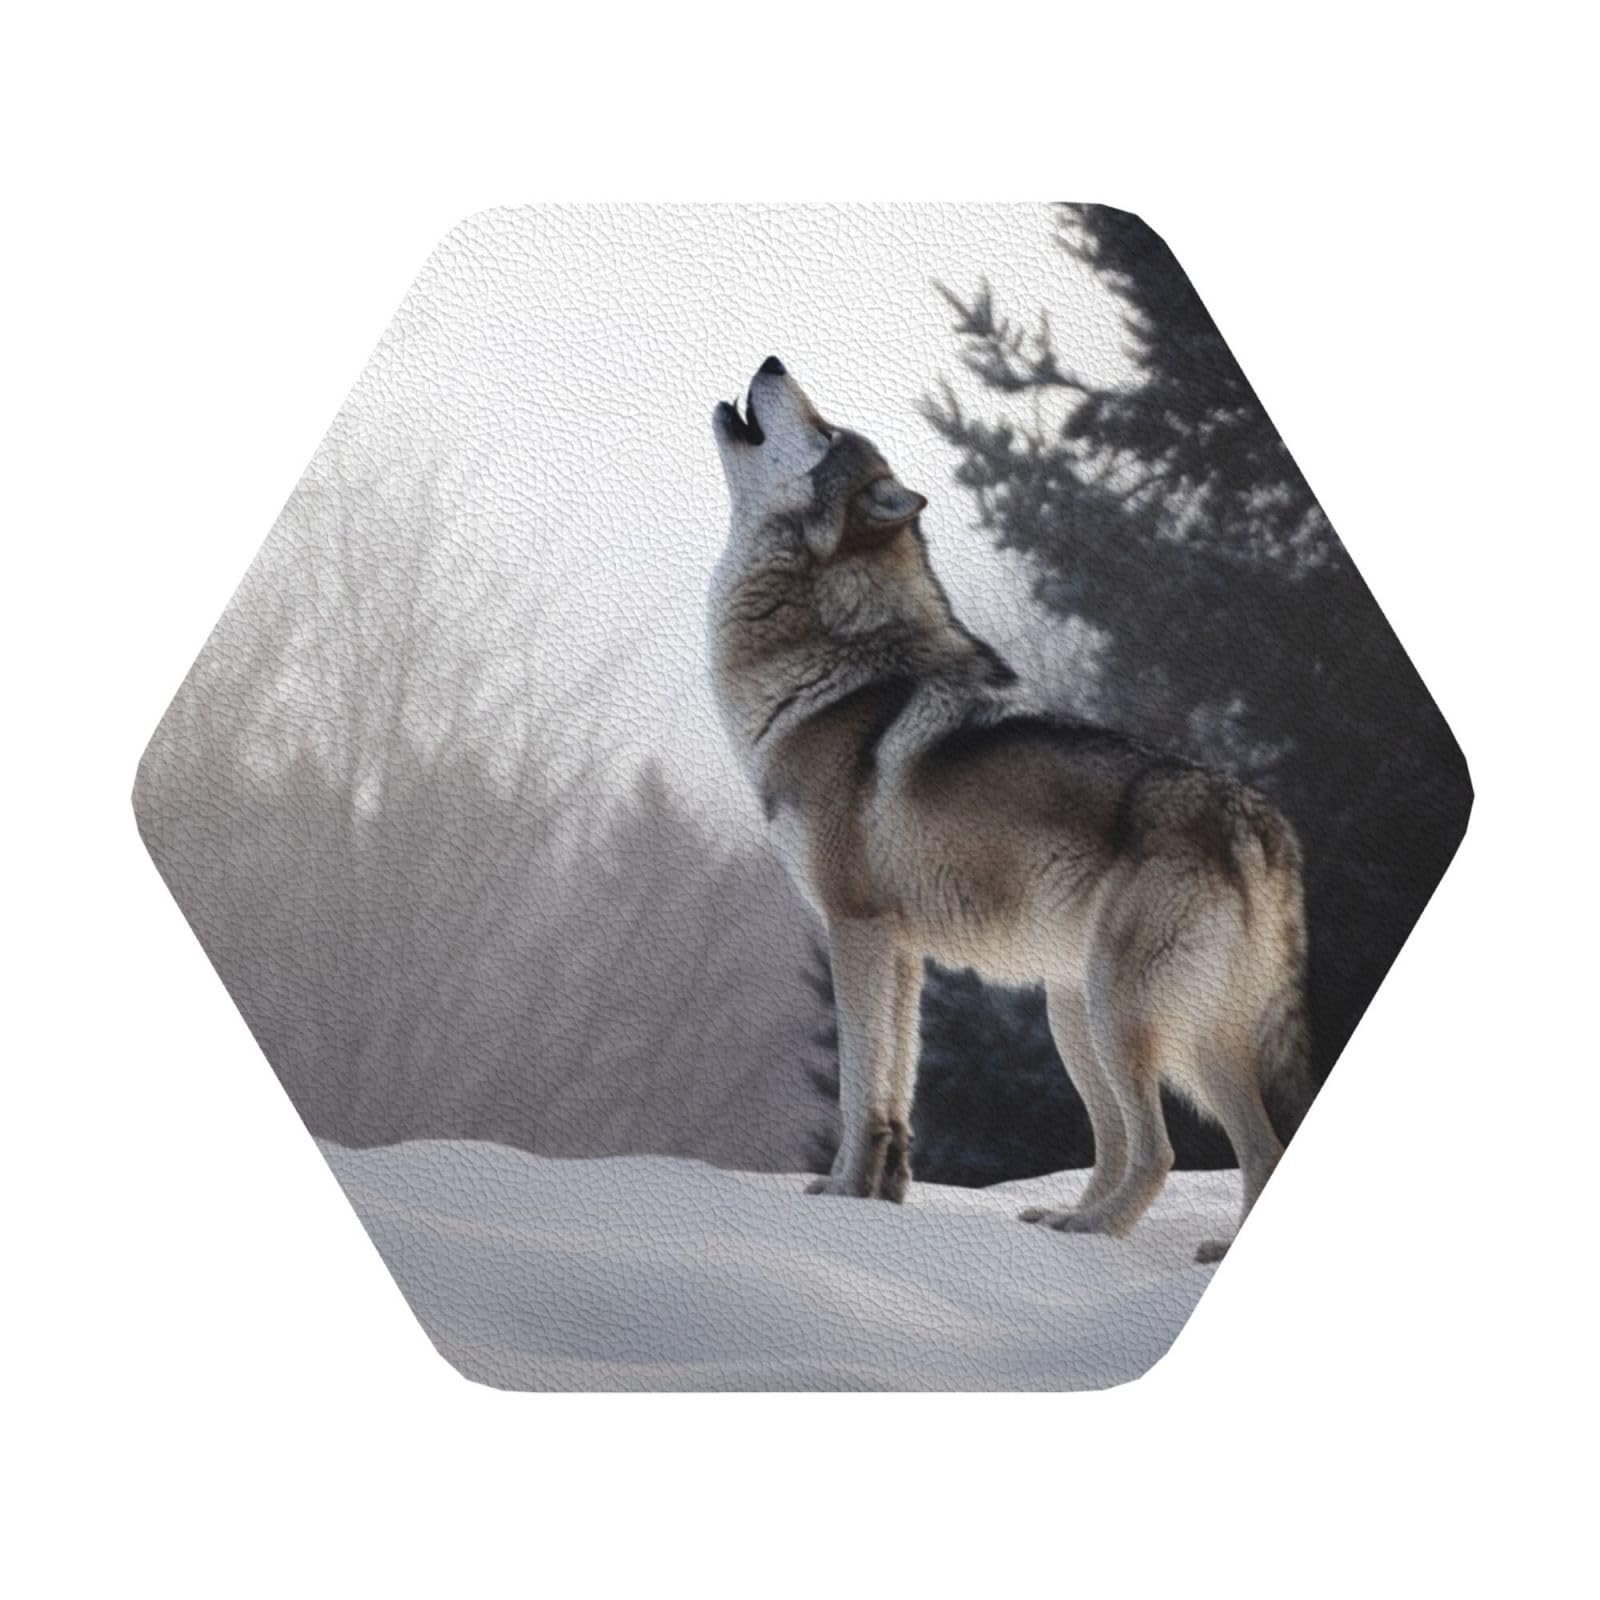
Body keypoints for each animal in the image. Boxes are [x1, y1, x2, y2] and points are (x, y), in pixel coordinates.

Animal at [709, 357, 1316, 1260]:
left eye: (824, 432)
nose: (774, 362)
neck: (830, 667)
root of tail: (1253, 816)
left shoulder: (855, 929)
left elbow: (857, 1088)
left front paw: (842, 1195)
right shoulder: (902, 951)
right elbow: (894, 1091)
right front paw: (876, 1198)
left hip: (1120, 1014)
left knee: (1160, 1150)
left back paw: (1092, 1234)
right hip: (1100, 1017)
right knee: (1232, 1145)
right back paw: (1099, 1226)